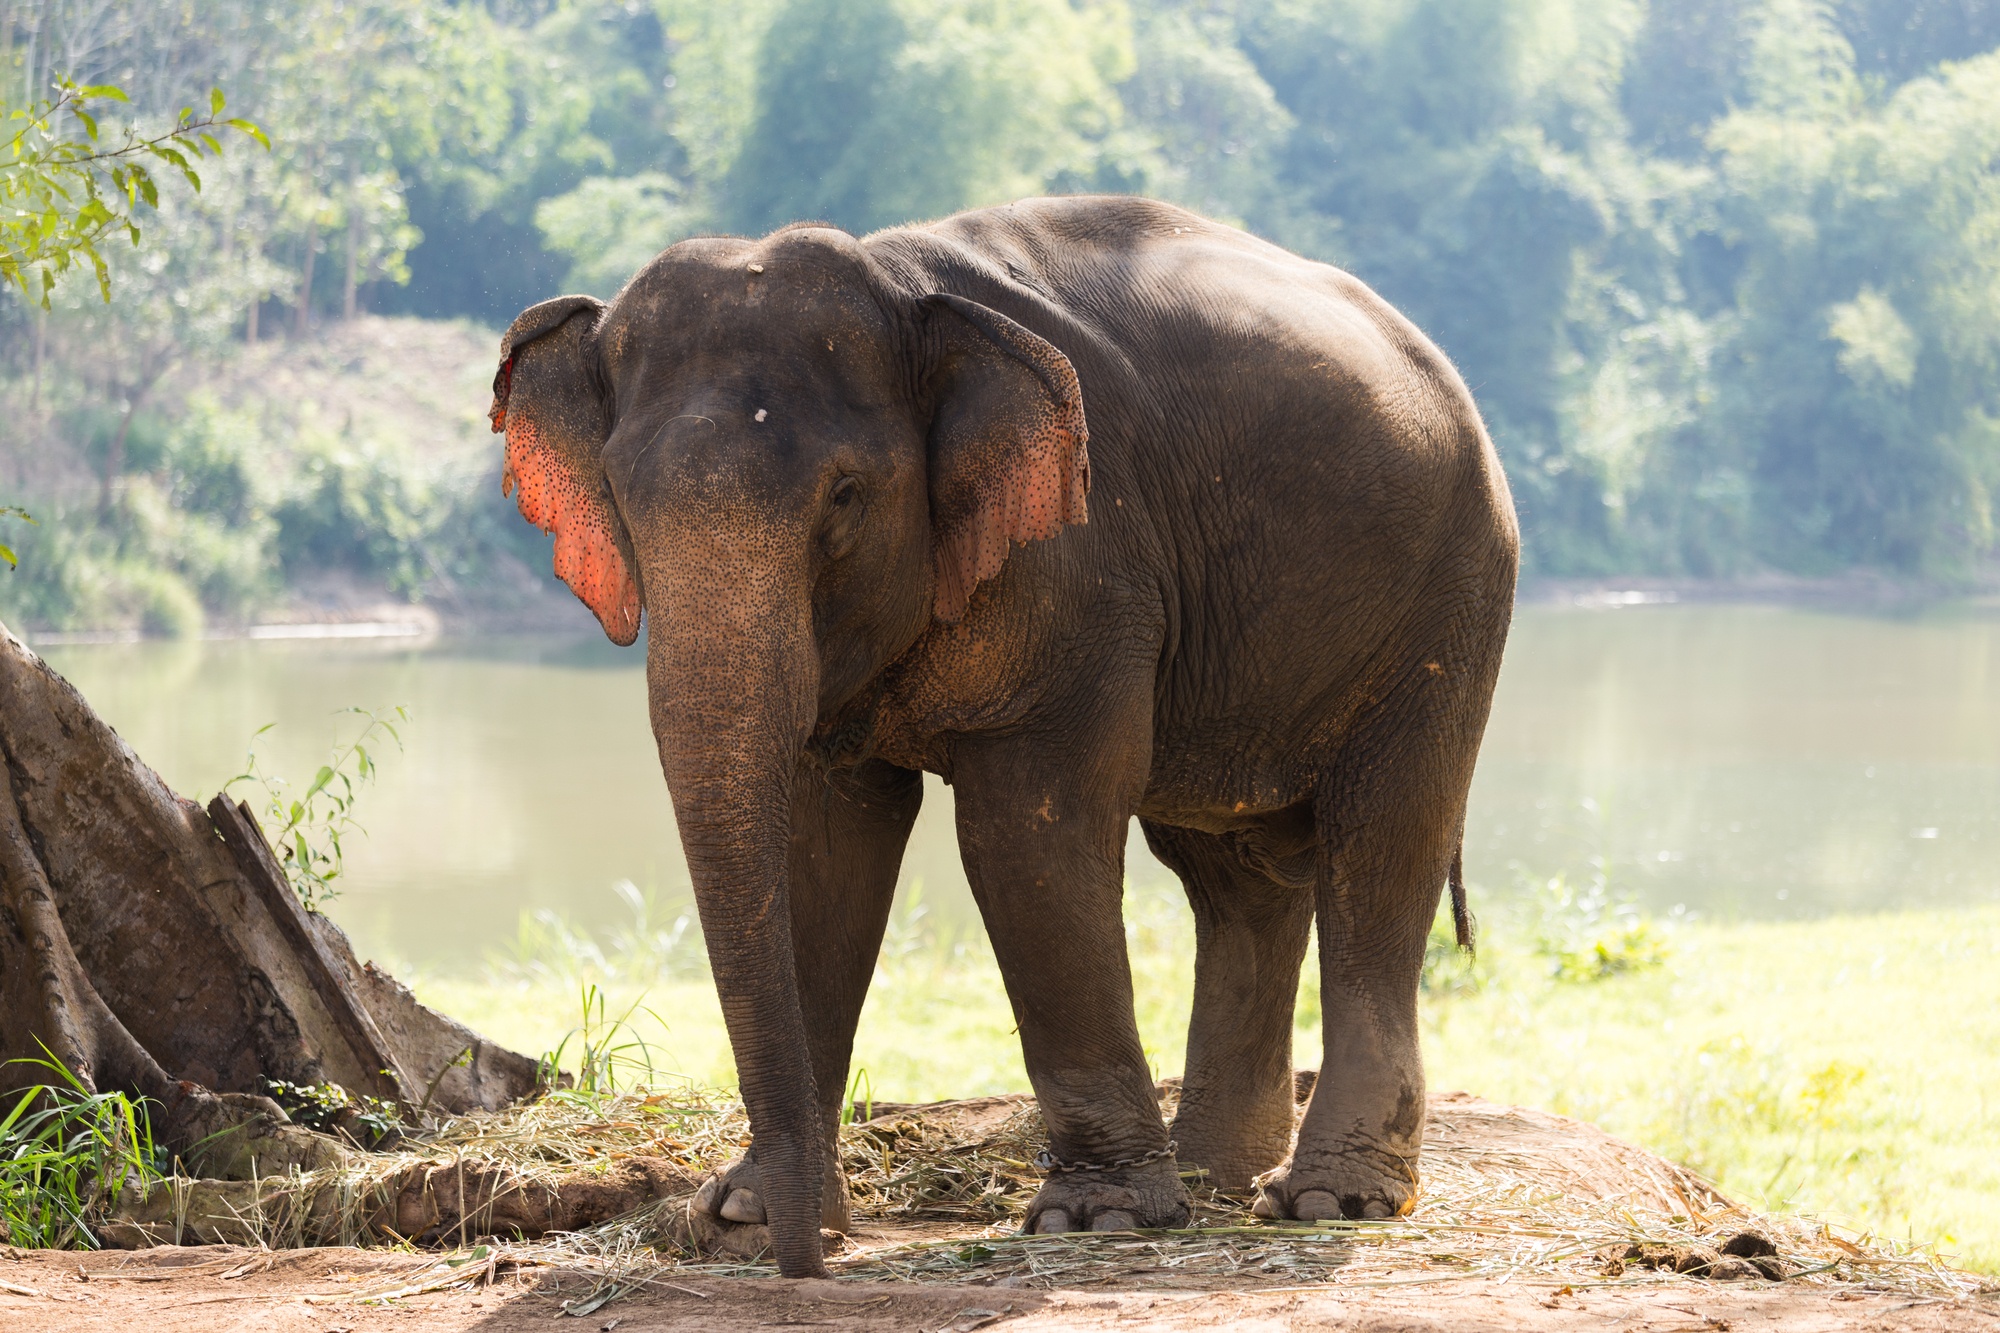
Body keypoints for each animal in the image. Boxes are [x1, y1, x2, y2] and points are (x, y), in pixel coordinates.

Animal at [488, 192, 1512, 1272]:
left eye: (844, 497)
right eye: (620, 499)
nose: (806, 1268)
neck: (898, 282)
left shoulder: (1086, 565)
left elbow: (1026, 832)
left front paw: (1098, 1217)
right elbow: (822, 851)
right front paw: (748, 1212)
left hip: (1449, 603)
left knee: (1380, 847)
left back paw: (1325, 1199)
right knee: (1233, 878)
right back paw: (1215, 1179)